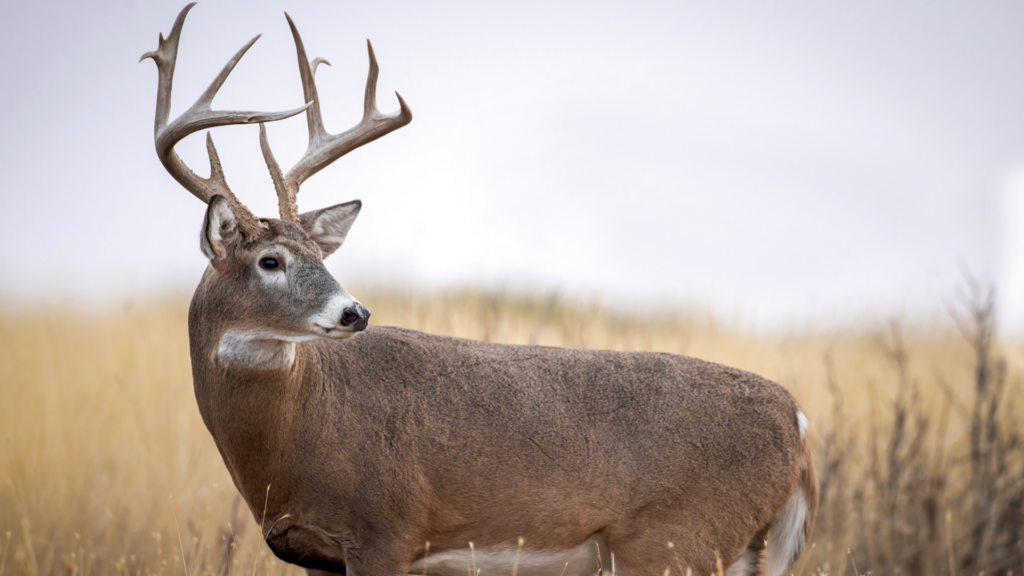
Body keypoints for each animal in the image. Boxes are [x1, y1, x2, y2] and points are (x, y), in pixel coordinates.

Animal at [141, 5, 818, 576]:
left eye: (318, 254)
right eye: (271, 260)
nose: (355, 312)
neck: (292, 438)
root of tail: (799, 420)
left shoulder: (386, 531)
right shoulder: (315, 554)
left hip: (676, 539)